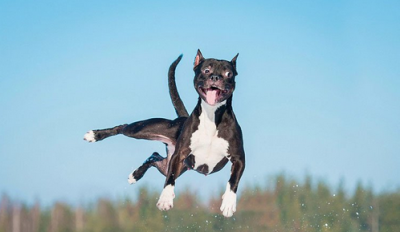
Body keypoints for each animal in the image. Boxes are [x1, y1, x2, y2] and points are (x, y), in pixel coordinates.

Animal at [83, 49, 244, 218]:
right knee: (123, 127)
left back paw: (135, 175)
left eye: (228, 74)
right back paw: (95, 135)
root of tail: (183, 118)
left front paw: (229, 203)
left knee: (154, 156)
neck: (212, 115)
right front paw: (166, 199)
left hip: (168, 165)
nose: (215, 78)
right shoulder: (179, 155)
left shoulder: (238, 159)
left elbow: (233, 180)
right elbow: (170, 180)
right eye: (206, 70)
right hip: (141, 130)